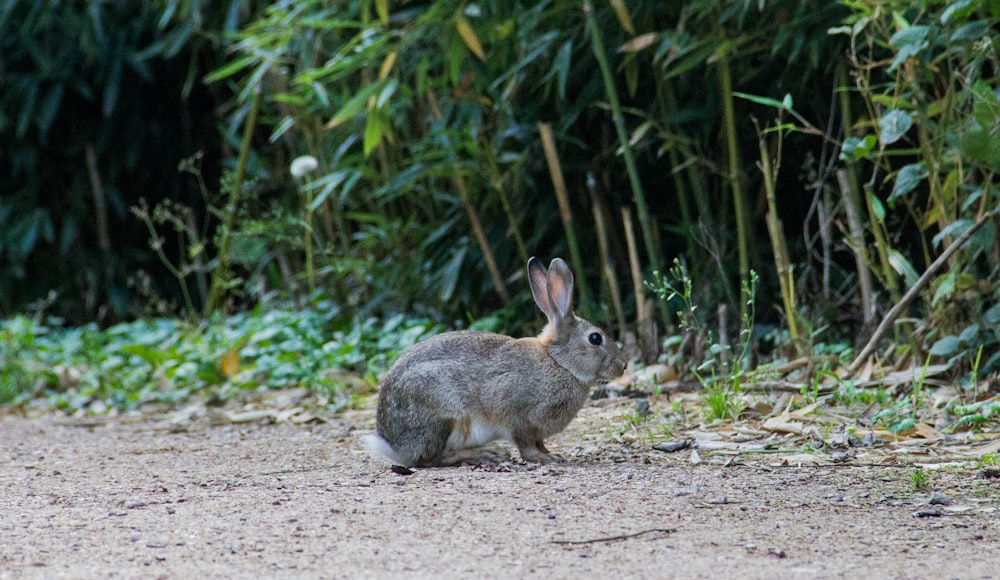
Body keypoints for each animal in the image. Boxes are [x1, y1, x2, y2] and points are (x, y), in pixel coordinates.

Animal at [366, 258, 624, 466]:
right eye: (595, 338)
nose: (622, 366)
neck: (558, 362)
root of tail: (393, 445)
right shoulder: (517, 415)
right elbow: (526, 445)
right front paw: (544, 458)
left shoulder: (536, 429)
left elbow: (539, 442)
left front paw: (551, 454)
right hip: (444, 414)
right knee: (431, 458)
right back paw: (487, 453)